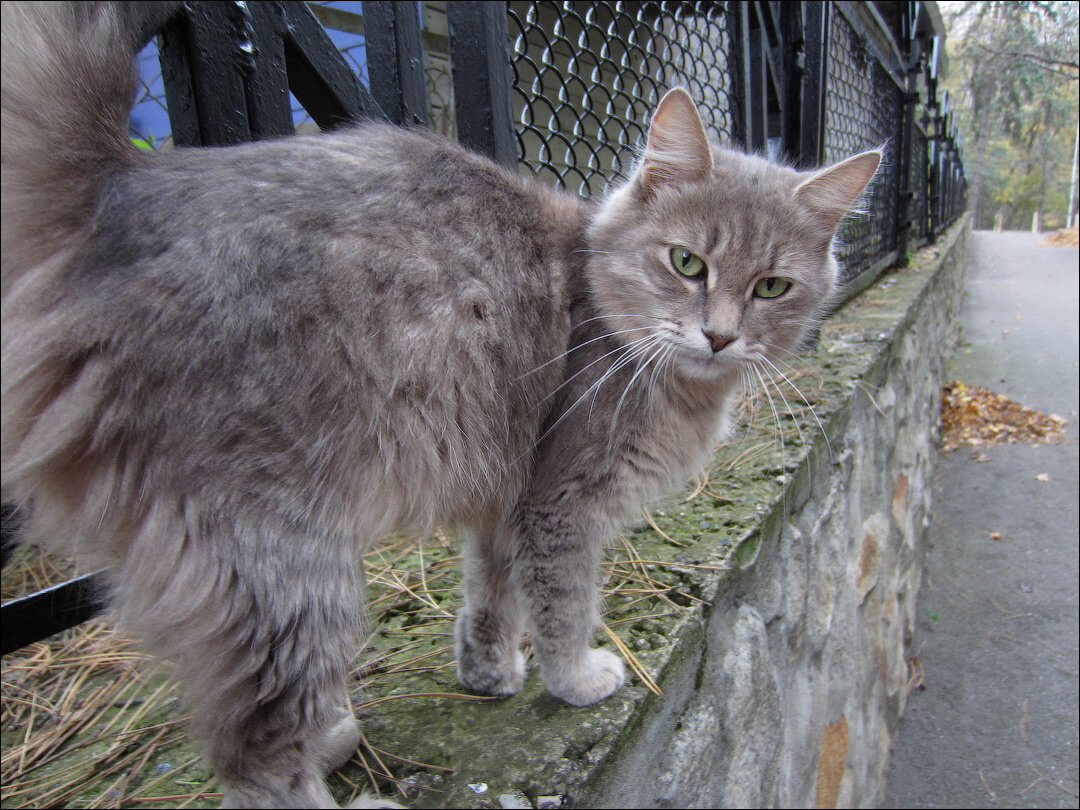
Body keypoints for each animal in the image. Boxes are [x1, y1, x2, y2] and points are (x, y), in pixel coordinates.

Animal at [0, 3, 876, 807]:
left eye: (772, 287)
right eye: (687, 263)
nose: (720, 337)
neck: (598, 304)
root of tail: (116, 190)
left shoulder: (509, 495)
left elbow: (492, 595)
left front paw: (488, 672)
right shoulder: (560, 501)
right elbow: (563, 605)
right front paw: (573, 680)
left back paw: (335, 738)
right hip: (282, 564)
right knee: (255, 758)